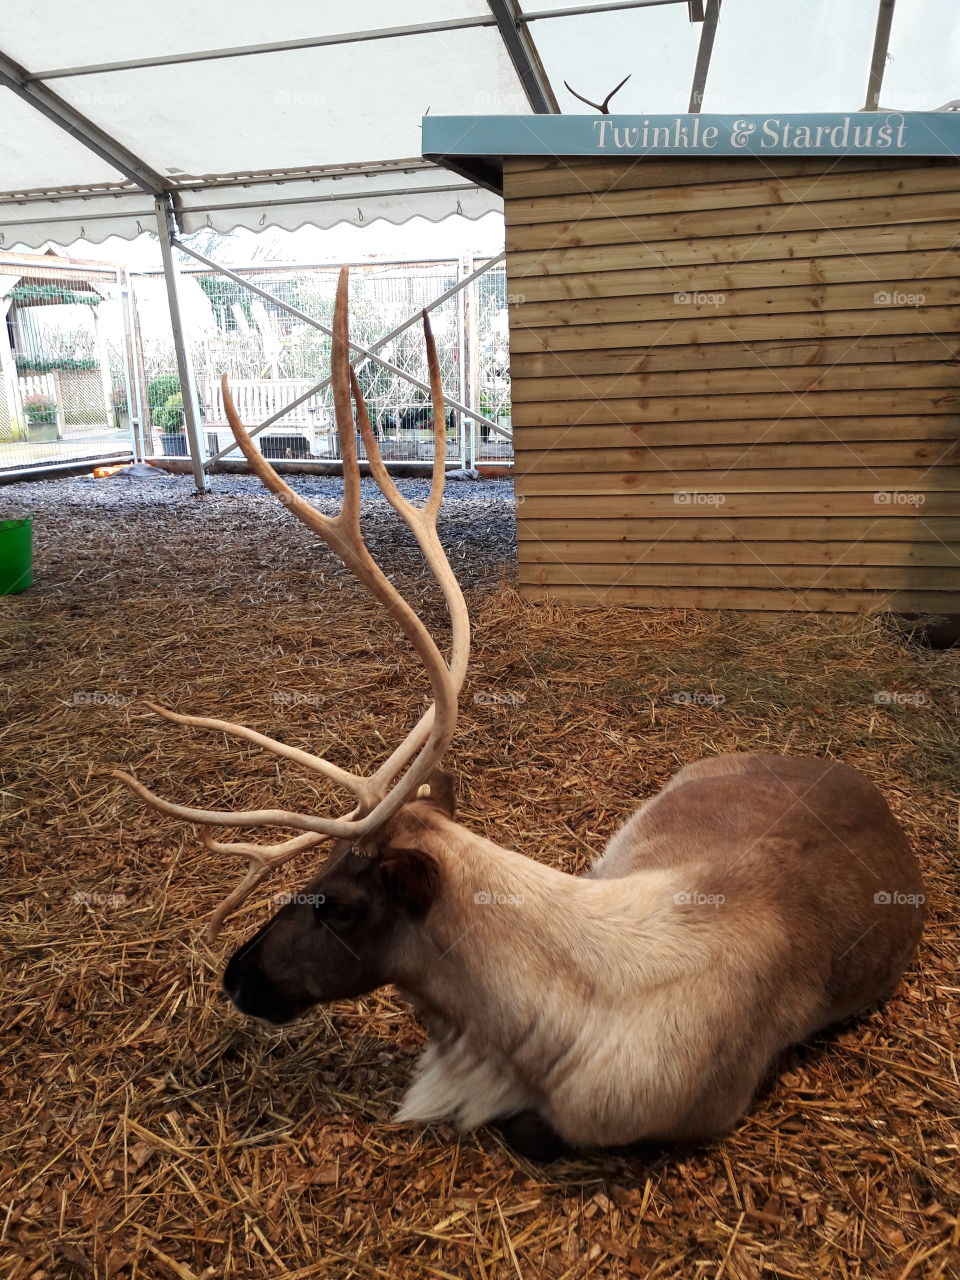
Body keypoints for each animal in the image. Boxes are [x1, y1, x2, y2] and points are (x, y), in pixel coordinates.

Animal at [115, 268, 925, 1161]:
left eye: (339, 903)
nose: (236, 976)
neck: (532, 1030)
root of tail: (853, 776)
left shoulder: (686, 1113)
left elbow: (534, 1130)